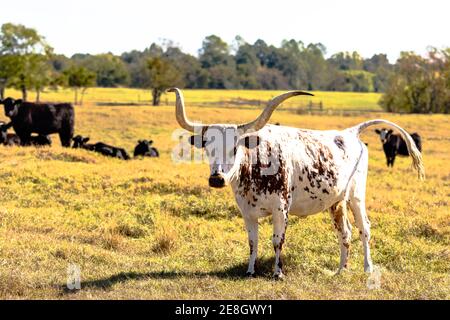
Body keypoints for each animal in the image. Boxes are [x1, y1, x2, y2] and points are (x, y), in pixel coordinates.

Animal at [169, 88, 426, 280]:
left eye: (235, 147)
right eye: (207, 147)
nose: (216, 178)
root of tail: (350, 133)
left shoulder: (280, 208)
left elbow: (277, 240)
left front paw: (278, 273)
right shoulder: (247, 212)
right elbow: (253, 242)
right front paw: (250, 270)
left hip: (356, 196)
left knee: (365, 229)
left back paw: (367, 268)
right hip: (337, 201)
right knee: (345, 232)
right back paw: (341, 270)